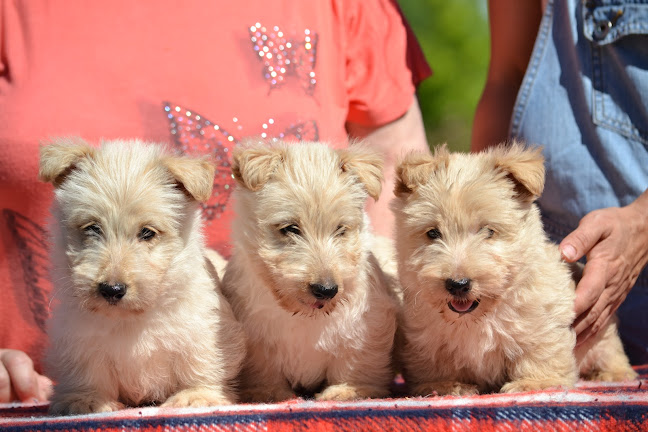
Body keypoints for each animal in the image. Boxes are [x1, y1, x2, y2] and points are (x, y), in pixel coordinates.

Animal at [39, 138, 246, 416]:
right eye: (92, 228)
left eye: (147, 233)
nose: (112, 289)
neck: (132, 319)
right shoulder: (79, 338)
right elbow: (87, 370)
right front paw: (85, 399)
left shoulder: (204, 330)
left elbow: (200, 362)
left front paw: (196, 395)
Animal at [220, 141, 398, 402]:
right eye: (290, 228)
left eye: (340, 229)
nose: (326, 289)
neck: (304, 316)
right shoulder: (255, 338)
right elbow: (264, 367)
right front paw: (268, 392)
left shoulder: (368, 327)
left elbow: (356, 361)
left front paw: (349, 390)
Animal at [392, 143, 636, 396]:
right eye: (432, 233)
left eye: (488, 231)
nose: (458, 284)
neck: (480, 317)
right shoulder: (426, 338)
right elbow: (435, 362)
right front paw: (444, 385)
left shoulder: (542, 321)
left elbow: (540, 351)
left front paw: (535, 382)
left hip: (602, 335)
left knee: (609, 350)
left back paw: (615, 373)